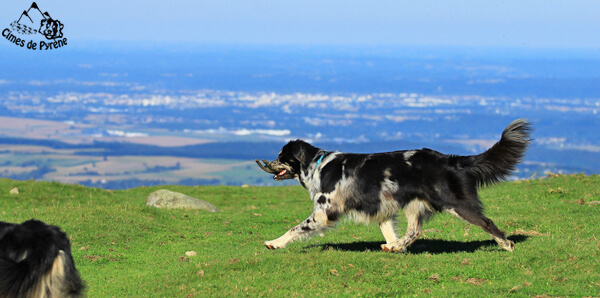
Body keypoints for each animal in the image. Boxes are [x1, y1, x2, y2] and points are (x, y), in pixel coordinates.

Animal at [255, 118, 532, 251]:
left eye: (281, 156)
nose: (268, 162)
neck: (317, 165)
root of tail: (450, 160)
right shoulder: (382, 208)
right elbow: (389, 229)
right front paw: (394, 245)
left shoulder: (324, 212)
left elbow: (295, 228)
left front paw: (274, 243)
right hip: (414, 205)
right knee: (414, 231)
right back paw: (395, 247)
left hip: (455, 204)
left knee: (487, 222)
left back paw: (506, 245)